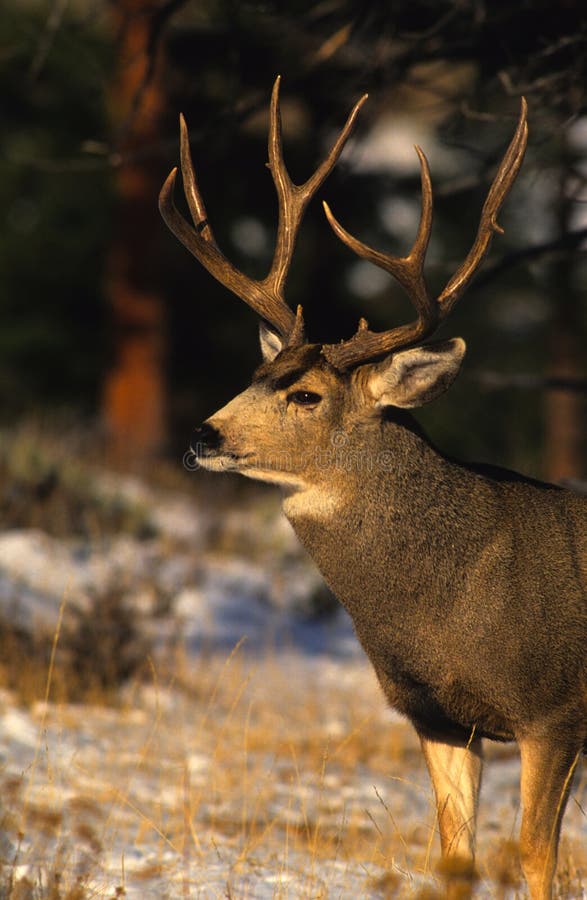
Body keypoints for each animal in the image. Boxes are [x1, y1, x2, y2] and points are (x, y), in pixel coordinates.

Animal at [158, 79, 584, 900]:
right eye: (257, 373)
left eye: (306, 396)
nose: (203, 435)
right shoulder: (439, 717)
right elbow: (455, 855)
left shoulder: (555, 708)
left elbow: (536, 858)